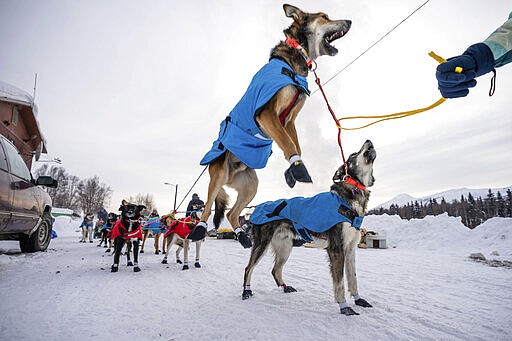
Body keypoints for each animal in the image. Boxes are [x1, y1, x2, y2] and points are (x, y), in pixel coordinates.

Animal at [196, 3, 352, 247]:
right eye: (325, 17)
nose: (350, 22)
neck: (294, 58)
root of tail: (230, 175)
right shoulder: (267, 114)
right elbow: (288, 144)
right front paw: (298, 169)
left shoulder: (289, 121)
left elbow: (294, 145)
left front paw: (294, 169)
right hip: (219, 172)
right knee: (207, 206)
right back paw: (199, 229)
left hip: (251, 185)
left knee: (231, 213)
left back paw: (242, 235)